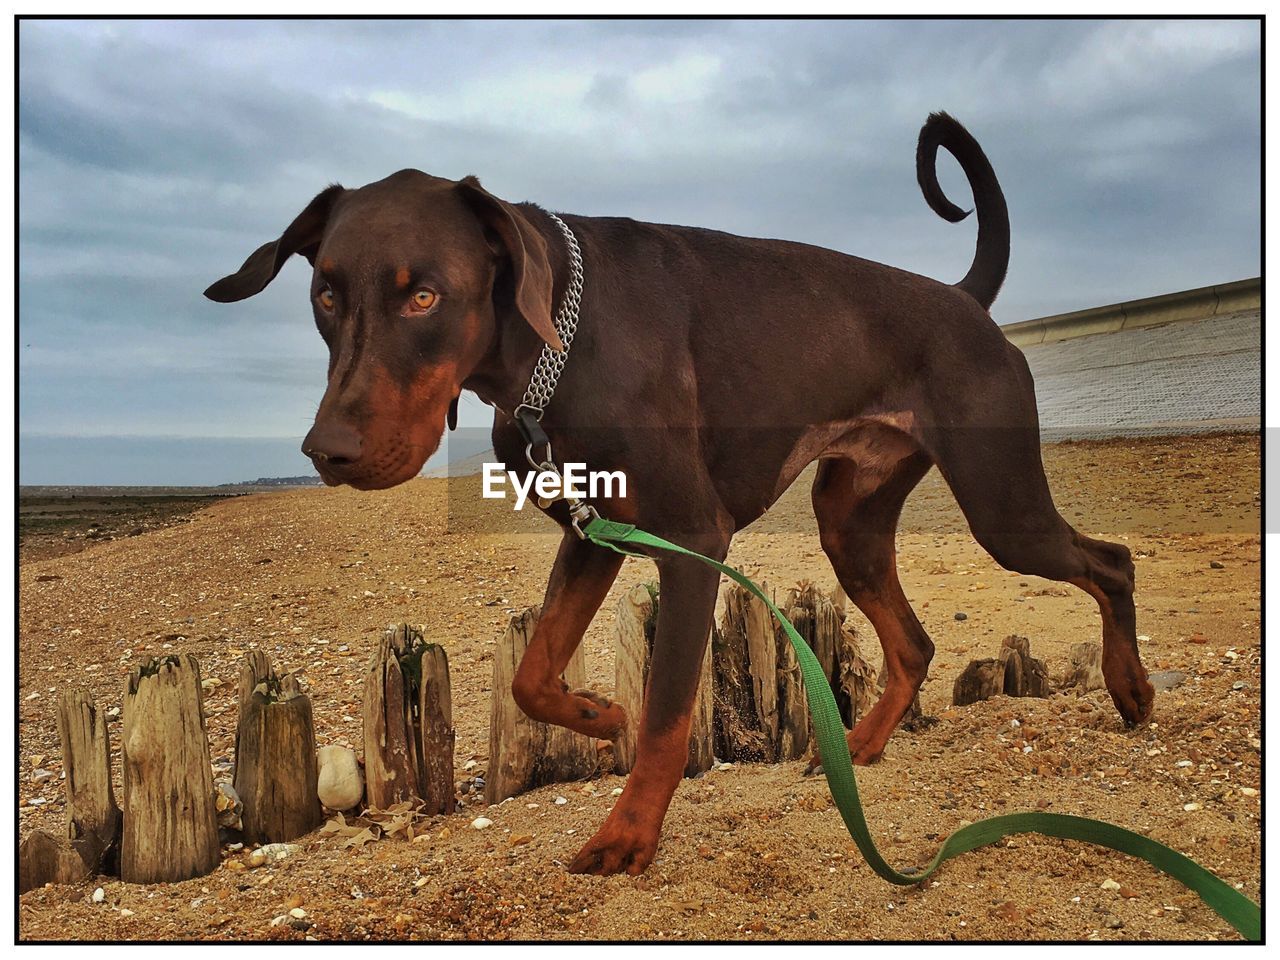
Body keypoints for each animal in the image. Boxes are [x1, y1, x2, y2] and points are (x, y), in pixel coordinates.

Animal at [204, 114, 1157, 880]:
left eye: (425, 296)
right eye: (326, 294)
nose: (326, 452)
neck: (559, 346)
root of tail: (963, 302)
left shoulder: (695, 543)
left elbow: (666, 717)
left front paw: (628, 835)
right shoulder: (591, 532)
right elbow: (532, 674)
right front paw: (595, 712)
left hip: (1002, 507)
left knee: (1109, 561)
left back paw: (1131, 689)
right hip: (850, 522)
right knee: (915, 643)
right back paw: (858, 746)